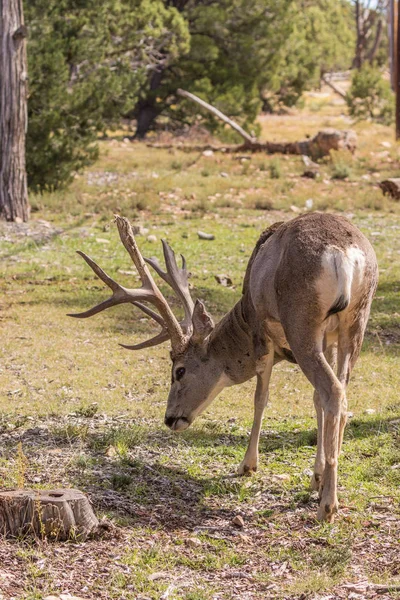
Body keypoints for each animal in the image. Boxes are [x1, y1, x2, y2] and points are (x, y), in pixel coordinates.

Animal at [69, 212, 378, 520]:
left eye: (179, 370)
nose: (170, 418)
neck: (244, 314)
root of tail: (343, 253)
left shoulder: (262, 333)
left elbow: (261, 398)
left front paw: (247, 465)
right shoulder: (329, 339)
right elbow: (314, 402)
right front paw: (315, 477)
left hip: (300, 321)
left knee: (332, 391)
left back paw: (327, 506)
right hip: (356, 323)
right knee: (340, 392)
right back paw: (327, 489)